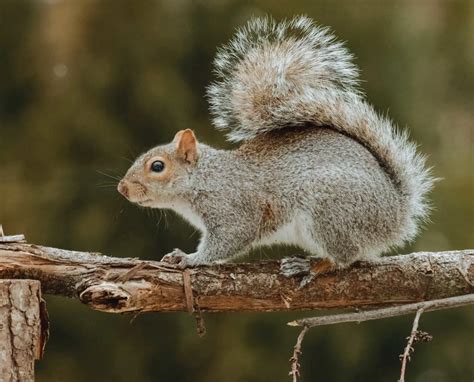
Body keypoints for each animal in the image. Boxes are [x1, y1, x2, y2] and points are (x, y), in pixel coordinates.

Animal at [117, 15, 434, 268]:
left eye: (157, 166)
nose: (122, 188)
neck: (205, 178)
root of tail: (395, 215)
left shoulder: (232, 208)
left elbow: (229, 240)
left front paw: (190, 258)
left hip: (329, 209)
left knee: (344, 257)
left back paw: (314, 267)